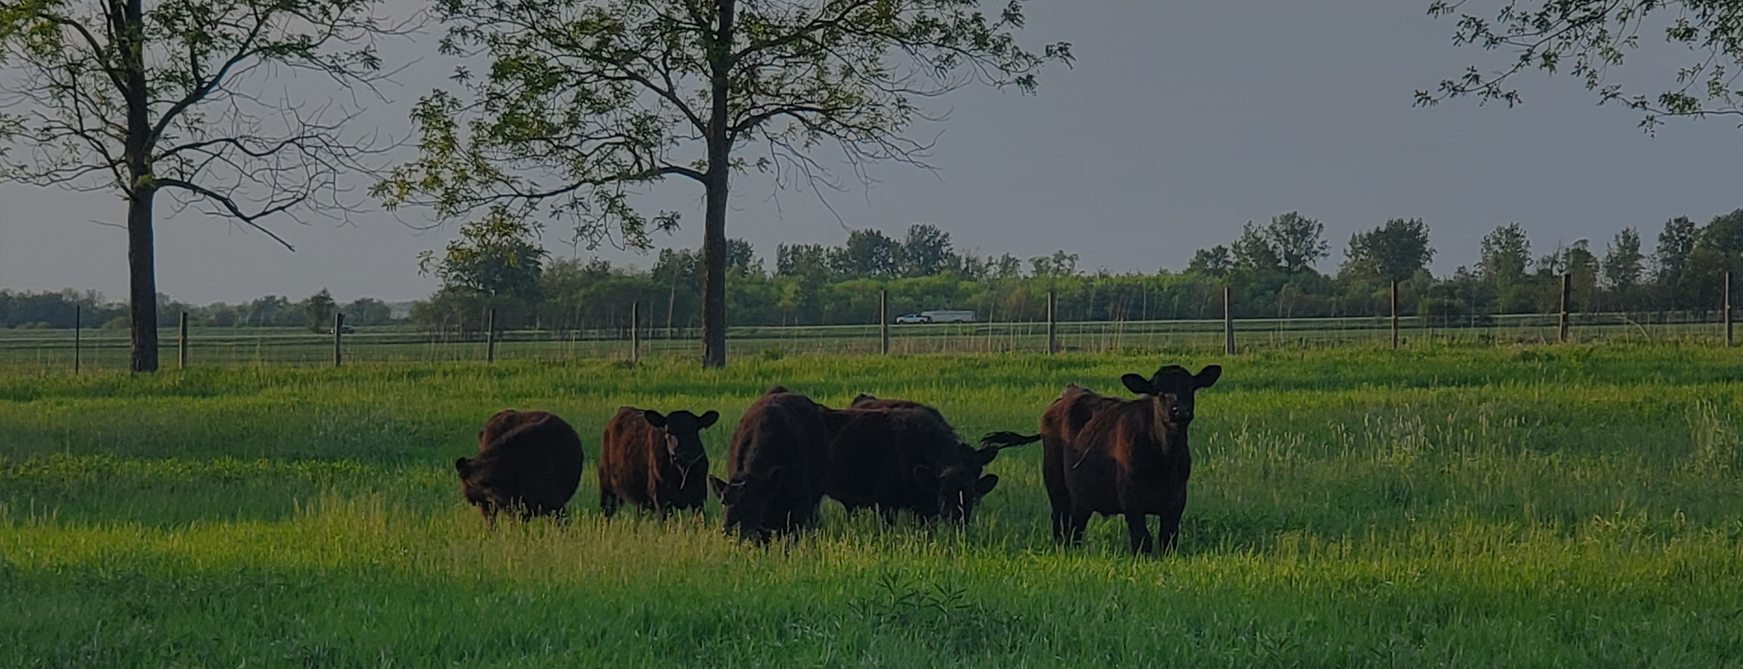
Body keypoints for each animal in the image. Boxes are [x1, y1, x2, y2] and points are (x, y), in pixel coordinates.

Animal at [1040, 364, 1221, 554]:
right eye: (1159, 391)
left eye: (1190, 387)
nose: (1181, 410)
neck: (1165, 462)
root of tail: (1070, 391)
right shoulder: (1131, 499)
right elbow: (1142, 539)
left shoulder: (1176, 501)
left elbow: (1168, 539)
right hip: (1056, 484)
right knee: (1059, 520)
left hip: (1082, 496)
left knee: (1076, 528)